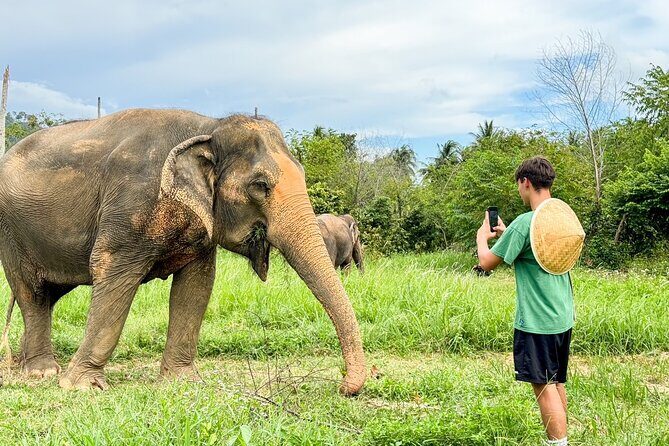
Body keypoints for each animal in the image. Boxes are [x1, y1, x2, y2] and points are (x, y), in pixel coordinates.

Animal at [0, 109, 366, 395]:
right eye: (260, 185)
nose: (344, 386)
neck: (210, 126)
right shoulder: (129, 207)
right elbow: (111, 271)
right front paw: (81, 387)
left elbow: (196, 285)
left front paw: (183, 383)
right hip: (11, 235)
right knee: (33, 294)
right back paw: (42, 373)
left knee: (48, 296)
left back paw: (29, 365)